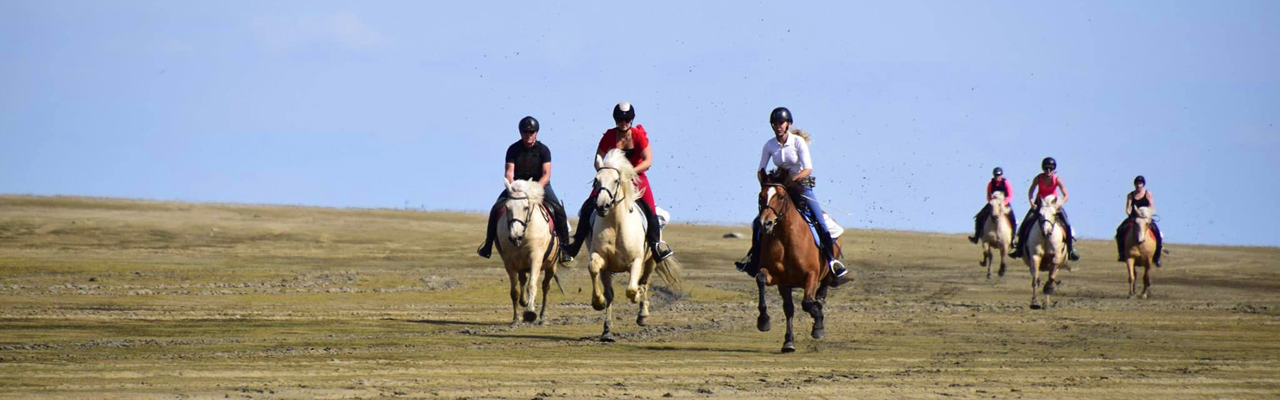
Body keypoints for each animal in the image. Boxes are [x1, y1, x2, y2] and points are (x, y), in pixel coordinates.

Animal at [494, 179, 565, 326]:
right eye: (507, 208)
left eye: (526, 207)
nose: (515, 236)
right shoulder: (509, 263)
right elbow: (514, 291)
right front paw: (515, 318)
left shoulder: (535, 258)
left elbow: (532, 285)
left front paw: (530, 312)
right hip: (521, 265)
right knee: (523, 281)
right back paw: (524, 302)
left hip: (551, 265)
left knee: (546, 287)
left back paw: (542, 316)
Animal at [588, 148, 686, 341]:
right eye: (596, 180)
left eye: (616, 180)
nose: (602, 206)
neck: (616, 224)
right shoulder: (601, 259)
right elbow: (594, 268)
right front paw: (598, 302)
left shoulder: (636, 261)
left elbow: (632, 289)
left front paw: (637, 298)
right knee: (611, 293)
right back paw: (607, 331)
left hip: (651, 261)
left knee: (644, 283)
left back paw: (643, 315)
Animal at [752, 171, 844, 353]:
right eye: (761, 196)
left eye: (781, 197)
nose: (765, 223)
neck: (786, 240)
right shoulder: (779, 279)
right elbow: (763, 281)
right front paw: (764, 321)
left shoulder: (811, 275)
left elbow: (808, 303)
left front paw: (818, 326)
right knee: (791, 308)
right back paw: (788, 340)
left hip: (828, 275)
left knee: (821, 295)